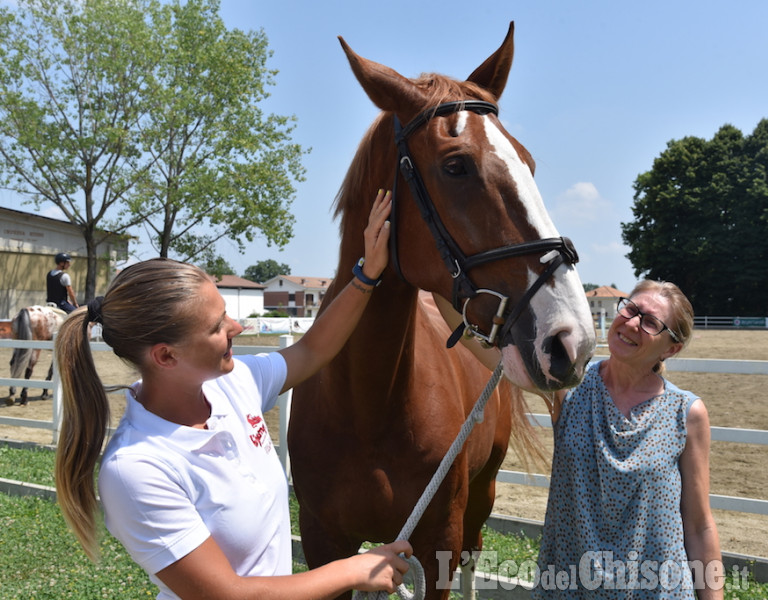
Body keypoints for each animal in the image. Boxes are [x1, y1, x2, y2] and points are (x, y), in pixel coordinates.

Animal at [288, 21, 592, 596]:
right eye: (456, 166)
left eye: (529, 163)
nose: (571, 339)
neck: (369, 403)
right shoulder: (323, 546)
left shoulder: (437, 545)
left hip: (481, 495)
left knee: (474, 554)